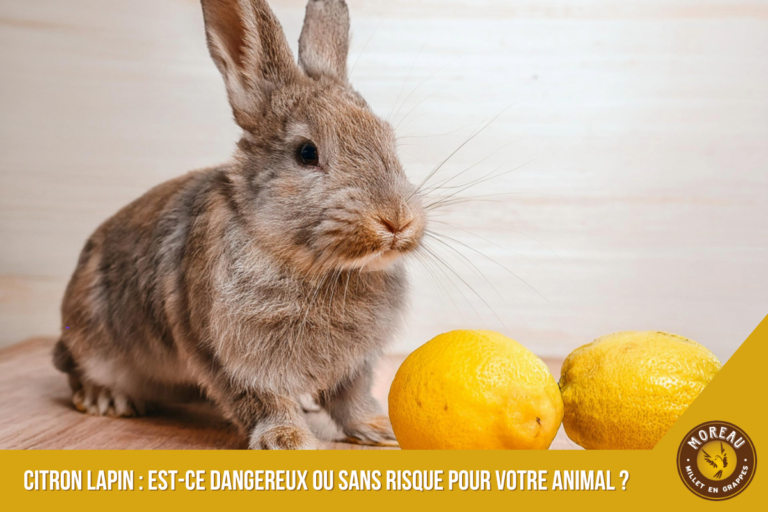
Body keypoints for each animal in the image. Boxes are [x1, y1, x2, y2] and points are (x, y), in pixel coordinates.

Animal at [52, 0, 426, 450]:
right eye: (306, 153)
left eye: (387, 138)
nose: (397, 220)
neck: (312, 264)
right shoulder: (225, 351)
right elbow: (261, 399)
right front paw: (289, 441)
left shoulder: (354, 365)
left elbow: (351, 399)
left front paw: (380, 429)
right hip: (89, 335)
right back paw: (107, 398)